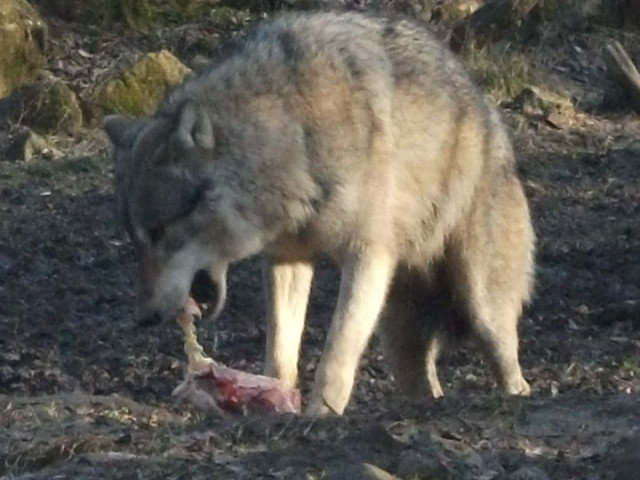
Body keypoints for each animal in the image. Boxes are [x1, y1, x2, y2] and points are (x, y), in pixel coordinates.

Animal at [104, 11, 535, 415]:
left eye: (159, 232)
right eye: (136, 240)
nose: (144, 317)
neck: (294, 136)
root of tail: (488, 112)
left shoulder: (366, 257)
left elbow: (336, 355)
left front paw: (320, 413)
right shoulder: (286, 259)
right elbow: (281, 350)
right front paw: (276, 398)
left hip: (482, 309)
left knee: (513, 373)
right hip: (399, 338)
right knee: (426, 385)